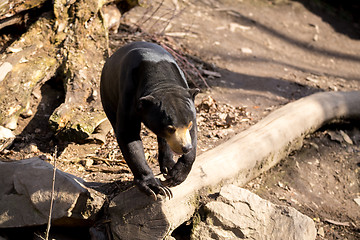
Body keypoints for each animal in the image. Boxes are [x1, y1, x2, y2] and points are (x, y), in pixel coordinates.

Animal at [100, 41, 198, 201]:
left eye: (188, 125)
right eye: (170, 128)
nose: (185, 147)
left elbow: (193, 133)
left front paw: (176, 175)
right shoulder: (129, 94)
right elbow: (128, 135)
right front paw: (156, 187)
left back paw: (168, 165)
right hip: (107, 94)